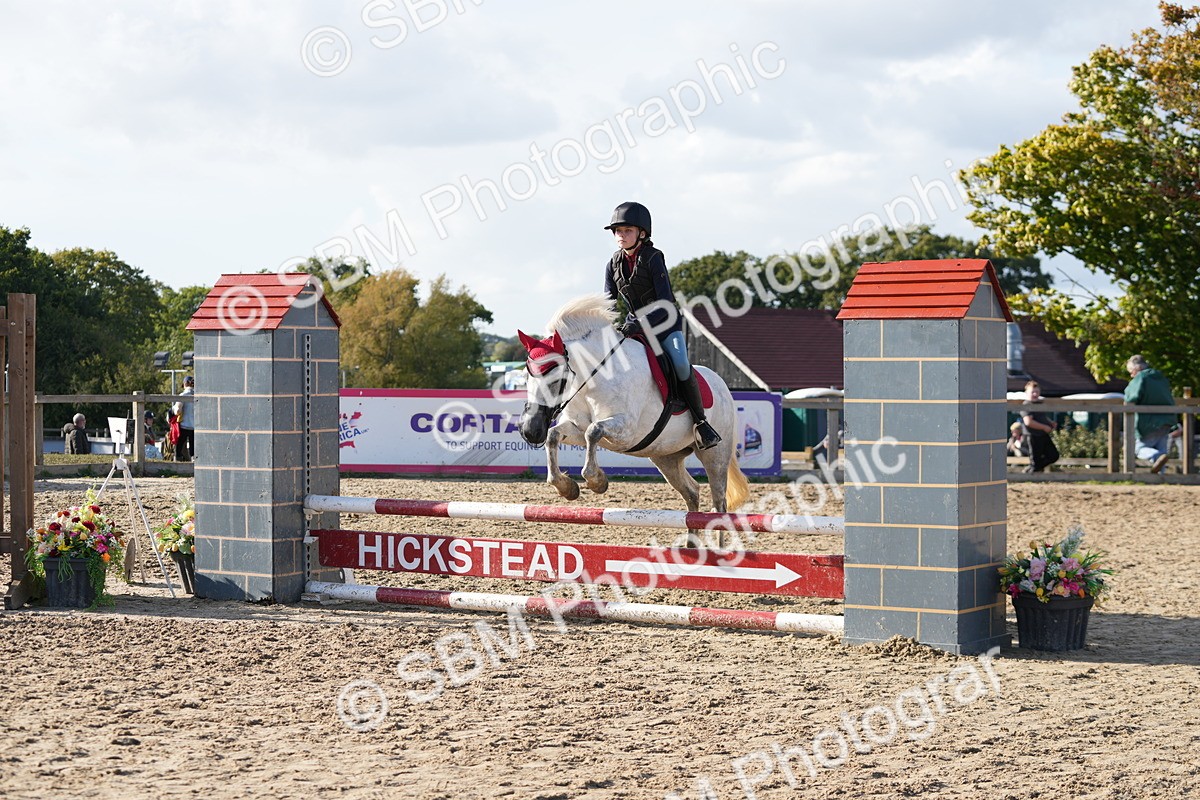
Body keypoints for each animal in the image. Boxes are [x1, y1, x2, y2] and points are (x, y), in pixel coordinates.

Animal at [517, 294, 749, 541]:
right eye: (526, 376)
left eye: (555, 379)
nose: (530, 430)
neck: (594, 377)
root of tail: (723, 386)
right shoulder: (576, 428)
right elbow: (555, 435)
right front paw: (566, 487)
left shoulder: (626, 430)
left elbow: (593, 431)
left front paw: (597, 481)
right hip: (666, 457)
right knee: (692, 492)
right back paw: (691, 546)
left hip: (715, 456)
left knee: (719, 504)